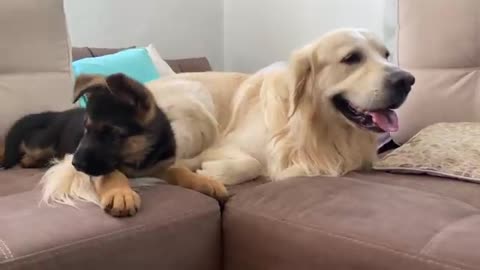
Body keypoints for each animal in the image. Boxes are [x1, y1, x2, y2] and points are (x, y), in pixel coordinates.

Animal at [0, 73, 228, 216]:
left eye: (110, 133)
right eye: (86, 129)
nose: (75, 164)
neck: (137, 155)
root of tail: (54, 115)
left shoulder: (158, 166)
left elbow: (180, 170)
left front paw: (206, 181)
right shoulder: (98, 167)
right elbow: (112, 173)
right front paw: (121, 194)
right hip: (42, 143)